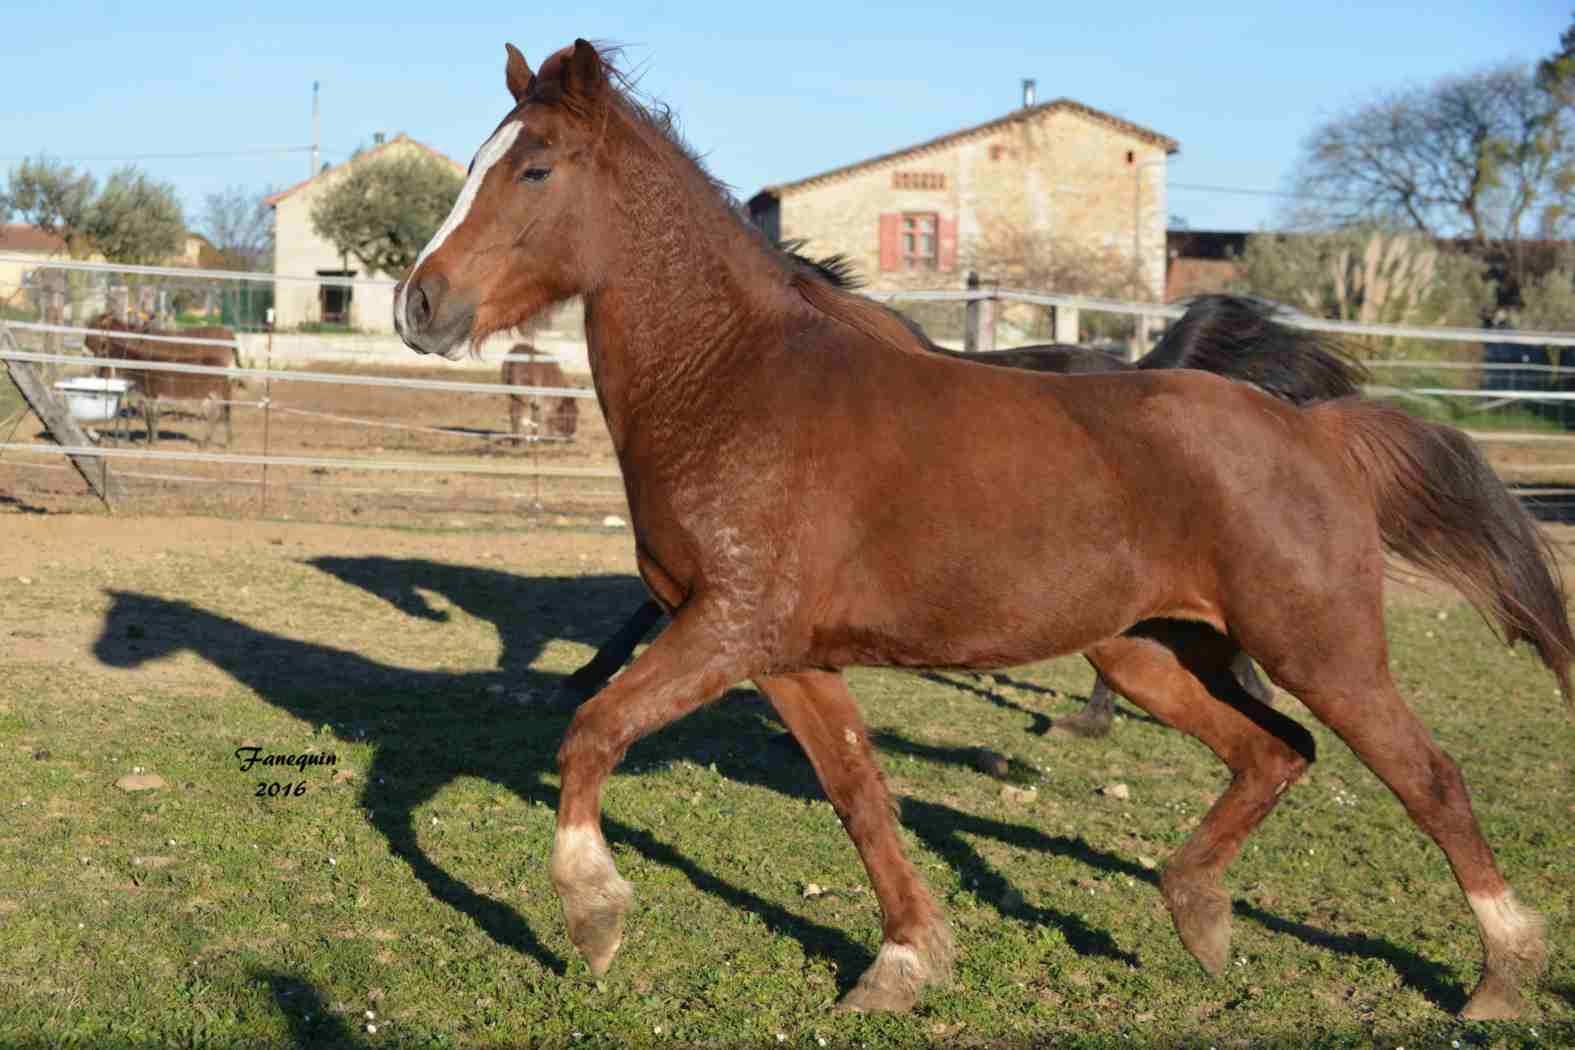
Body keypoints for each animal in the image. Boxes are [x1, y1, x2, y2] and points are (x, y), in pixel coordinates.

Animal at [396, 41, 1575, 1020]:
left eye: (534, 170)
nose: (420, 305)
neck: (737, 384)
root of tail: (1314, 428)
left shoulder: (725, 629)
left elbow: (593, 729)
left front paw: (593, 918)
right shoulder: (780, 655)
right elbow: (859, 793)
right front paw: (903, 963)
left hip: (1321, 648)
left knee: (1428, 778)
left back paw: (1500, 977)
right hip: (1148, 653)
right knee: (1275, 750)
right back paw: (1198, 916)